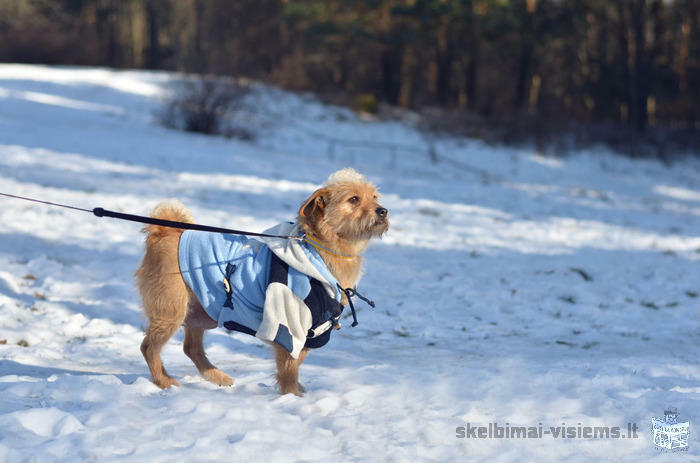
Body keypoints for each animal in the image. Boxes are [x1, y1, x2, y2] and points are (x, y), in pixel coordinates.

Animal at [135, 168, 392, 396]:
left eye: (374, 197)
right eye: (354, 199)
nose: (383, 211)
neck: (319, 251)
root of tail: (164, 232)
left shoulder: (314, 330)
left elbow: (297, 362)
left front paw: (296, 391)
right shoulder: (289, 324)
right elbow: (289, 368)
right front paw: (291, 397)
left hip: (203, 309)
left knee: (191, 348)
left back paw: (217, 377)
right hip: (172, 310)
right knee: (148, 347)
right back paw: (163, 381)